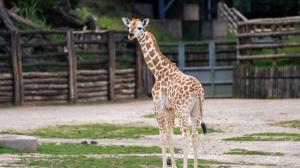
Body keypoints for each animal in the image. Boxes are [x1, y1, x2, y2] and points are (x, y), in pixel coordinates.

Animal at [122, 17, 206, 168]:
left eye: (140, 28)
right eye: (129, 27)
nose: (130, 35)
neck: (158, 71)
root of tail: (198, 90)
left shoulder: (158, 107)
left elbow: (162, 137)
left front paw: (165, 165)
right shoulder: (169, 110)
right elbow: (169, 136)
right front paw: (173, 165)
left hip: (183, 111)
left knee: (186, 136)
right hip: (196, 111)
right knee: (195, 135)